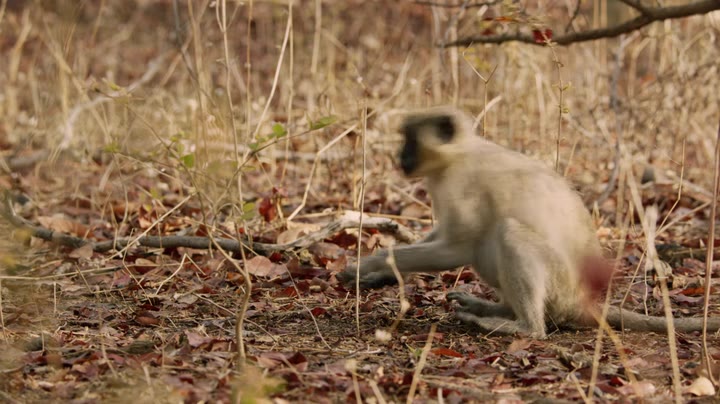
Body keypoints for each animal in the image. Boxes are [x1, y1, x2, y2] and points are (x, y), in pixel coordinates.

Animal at [340, 105, 720, 336]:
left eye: (409, 140)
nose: (399, 156)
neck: (461, 153)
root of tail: (582, 301)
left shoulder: (462, 182)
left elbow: (456, 249)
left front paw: (368, 264)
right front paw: (377, 274)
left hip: (558, 284)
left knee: (504, 234)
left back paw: (521, 326)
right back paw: (499, 309)